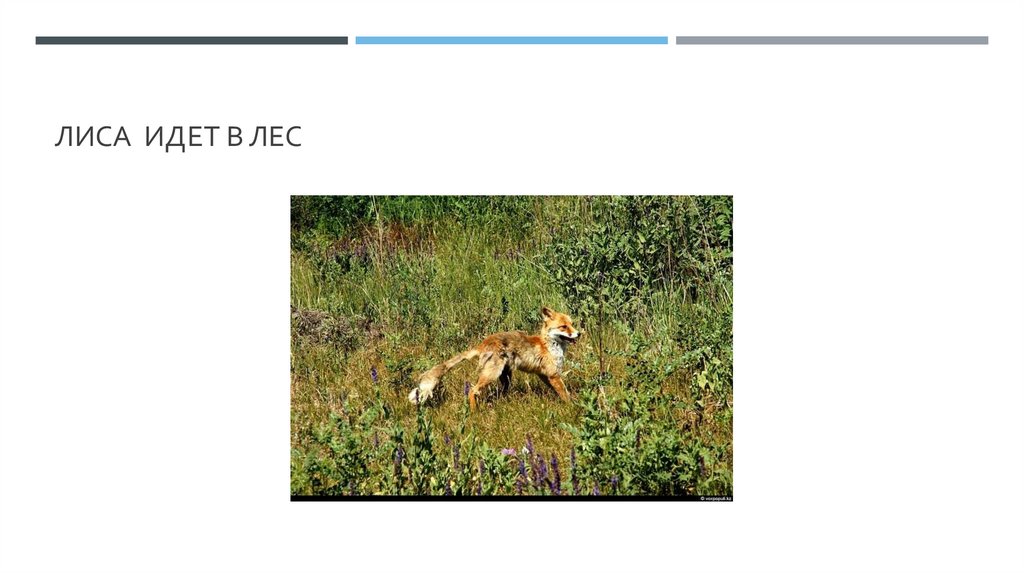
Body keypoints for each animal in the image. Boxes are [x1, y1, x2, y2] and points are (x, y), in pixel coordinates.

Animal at [408, 307, 582, 411]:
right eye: (563, 327)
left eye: (572, 324)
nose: (579, 334)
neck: (550, 345)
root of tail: (483, 343)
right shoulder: (553, 374)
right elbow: (565, 393)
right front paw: (572, 406)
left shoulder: (545, 375)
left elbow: (556, 390)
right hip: (492, 374)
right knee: (472, 390)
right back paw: (474, 411)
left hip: (505, 377)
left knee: (500, 391)